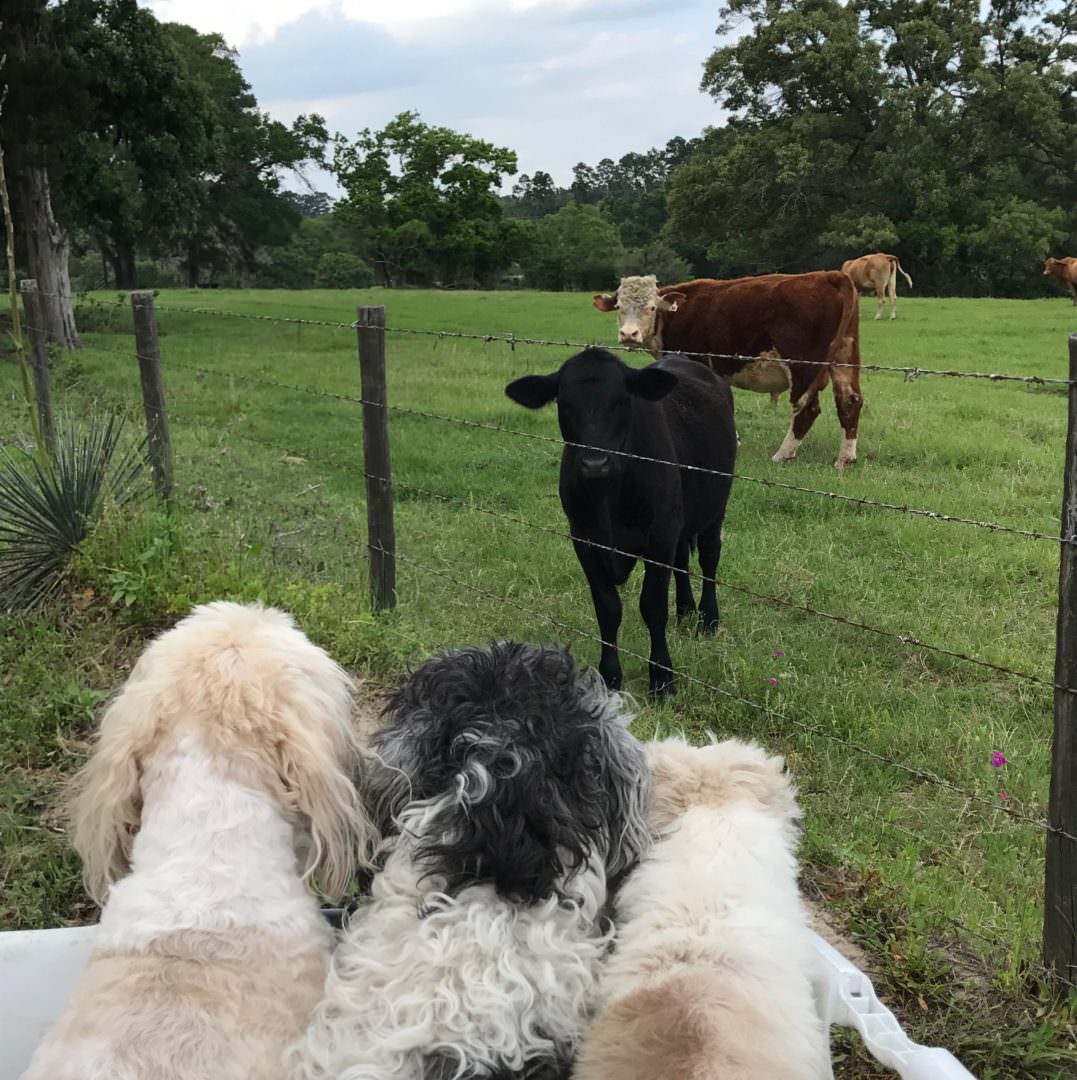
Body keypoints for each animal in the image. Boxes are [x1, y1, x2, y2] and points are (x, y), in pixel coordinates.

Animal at [591, 270, 859, 468]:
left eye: (651, 308)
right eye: (619, 307)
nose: (629, 334)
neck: (675, 315)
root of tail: (830, 275)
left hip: (804, 366)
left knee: (807, 408)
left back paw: (782, 455)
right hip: (845, 358)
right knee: (850, 400)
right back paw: (844, 459)